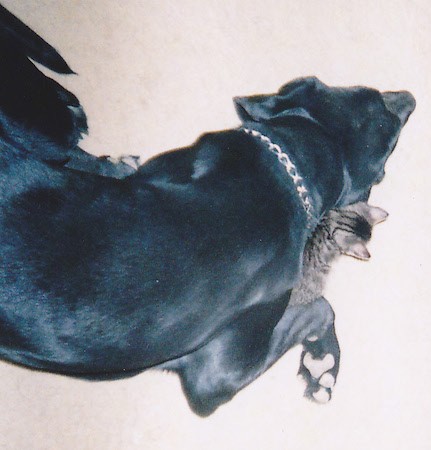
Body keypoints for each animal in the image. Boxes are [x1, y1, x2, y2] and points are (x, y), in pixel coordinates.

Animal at [0, 5, 416, 416]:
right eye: (391, 135)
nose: (411, 97)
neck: (283, 171)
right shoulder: (217, 374)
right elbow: (321, 307)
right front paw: (324, 361)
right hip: (45, 120)